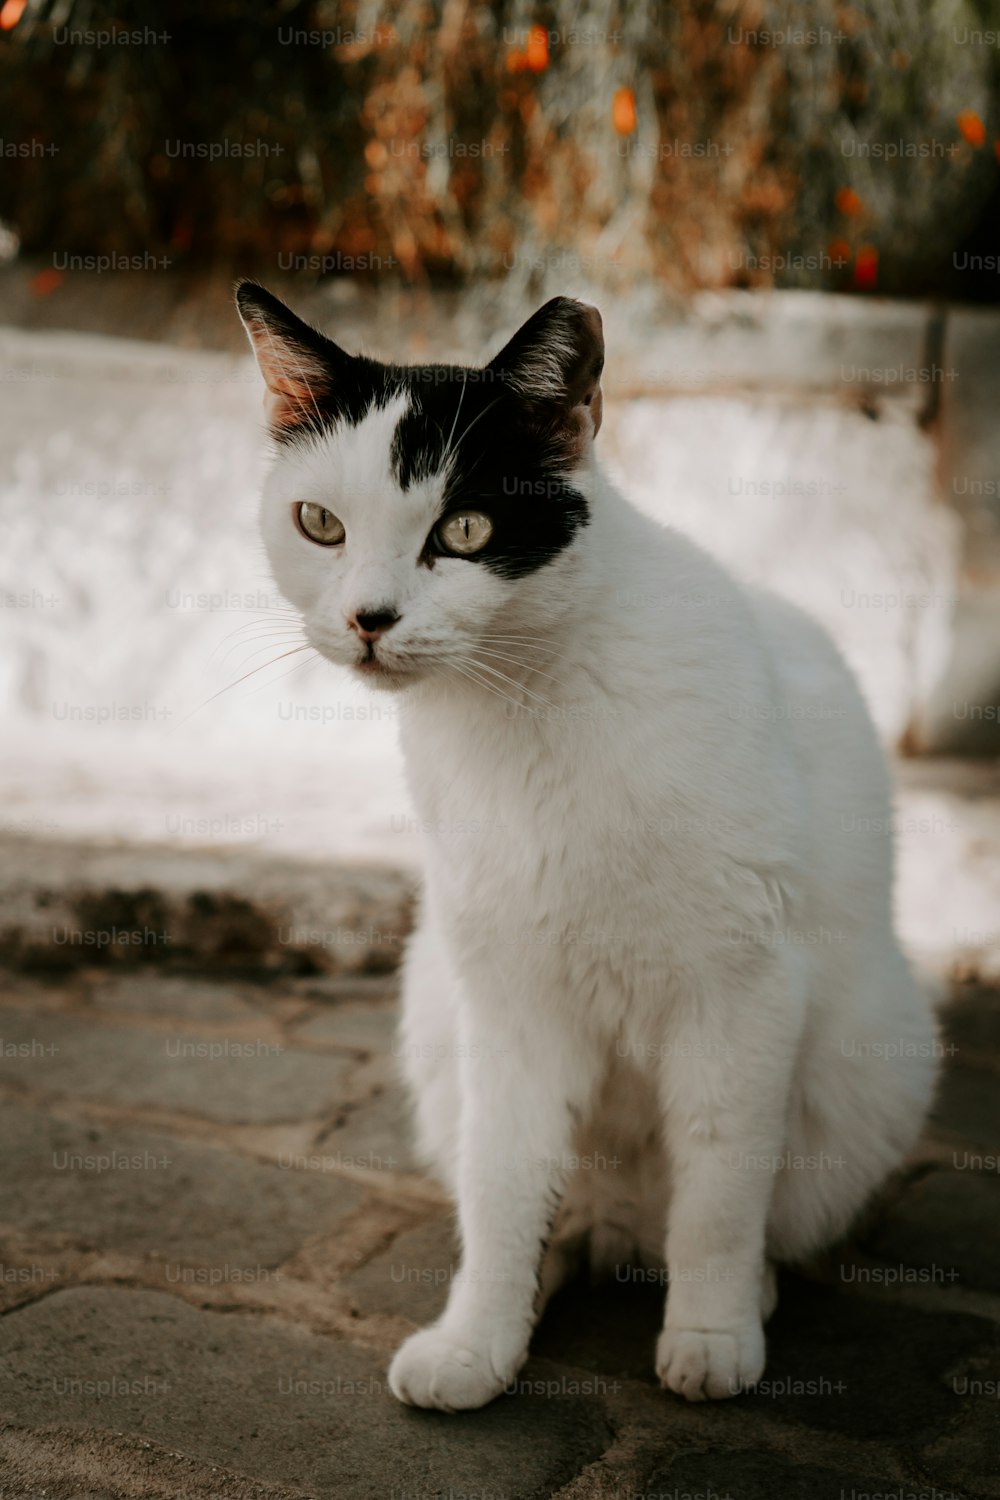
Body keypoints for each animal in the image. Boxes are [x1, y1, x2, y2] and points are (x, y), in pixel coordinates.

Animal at [238, 279, 941, 1404]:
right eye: (320, 524)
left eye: (467, 528)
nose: (367, 620)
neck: (525, 706)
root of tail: (622, 1231)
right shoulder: (509, 997)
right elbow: (503, 1182)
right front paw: (479, 1338)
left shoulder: (741, 989)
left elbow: (719, 1186)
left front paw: (709, 1334)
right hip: (438, 1014)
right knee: (553, 1202)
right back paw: (559, 1263)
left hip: (873, 1059)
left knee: (726, 1210)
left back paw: (744, 1293)